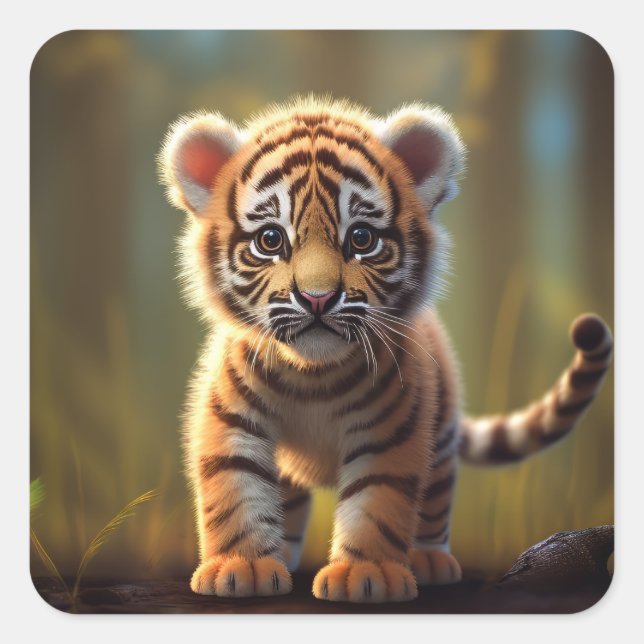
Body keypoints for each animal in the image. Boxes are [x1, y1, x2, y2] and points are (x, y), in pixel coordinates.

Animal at [157, 96, 612, 603]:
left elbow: (376, 503)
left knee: (434, 499)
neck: (311, 373)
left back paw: (430, 561)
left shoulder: (392, 428)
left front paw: (365, 575)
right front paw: (244, 568)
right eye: (270, 240)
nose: (317, 298)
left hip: (441, 438)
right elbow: (236, 489)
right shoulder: (233, 417)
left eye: (361, 238)